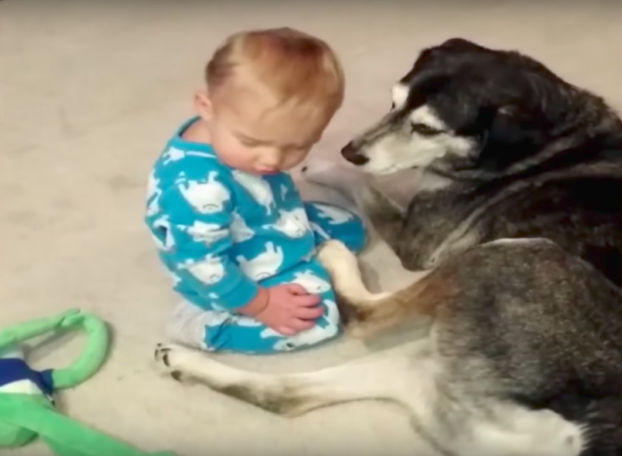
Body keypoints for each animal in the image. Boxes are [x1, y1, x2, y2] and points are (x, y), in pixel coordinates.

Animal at [152, 40, 622, 456]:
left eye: (427, 128)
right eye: (392, 102)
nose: (349, 150)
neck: (553, 134)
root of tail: (579, 435)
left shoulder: (418, 241)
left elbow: (369, 186)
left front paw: (326, 167)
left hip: (514, 256)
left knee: (364, 316)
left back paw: (334, 255)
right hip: (422, 375)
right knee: (289, 396)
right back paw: (185, 362)